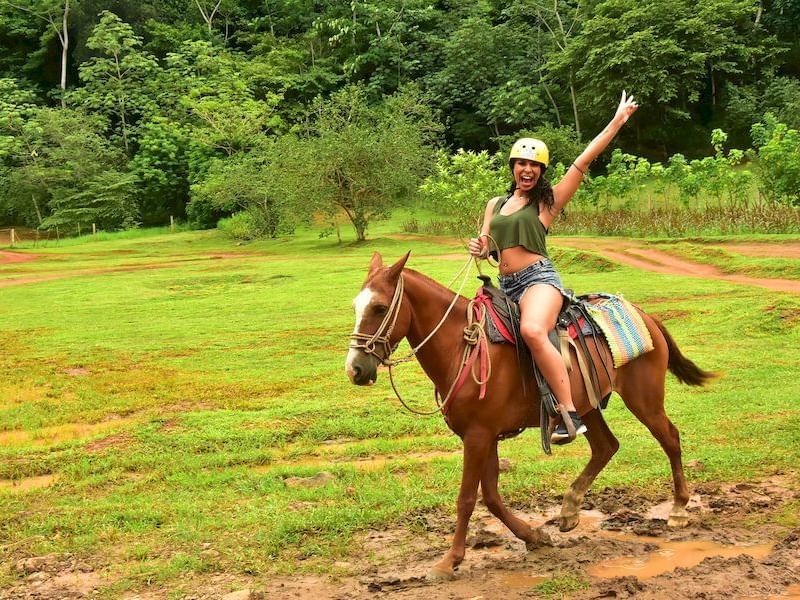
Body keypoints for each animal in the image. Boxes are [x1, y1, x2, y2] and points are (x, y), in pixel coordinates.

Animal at [344, 253, 712, 580]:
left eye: (379, 308)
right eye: (355, 307)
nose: (355, 369)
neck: (464, 346)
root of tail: (646, 316)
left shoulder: (478, 436)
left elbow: (467, 498)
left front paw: (449, 561)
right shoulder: (484, 436)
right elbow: (491, 496)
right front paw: (534, 537)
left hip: (644, 399)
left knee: (669, 437)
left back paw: (679, 508)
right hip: (587, 406)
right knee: (606, 446)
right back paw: (570, 508)